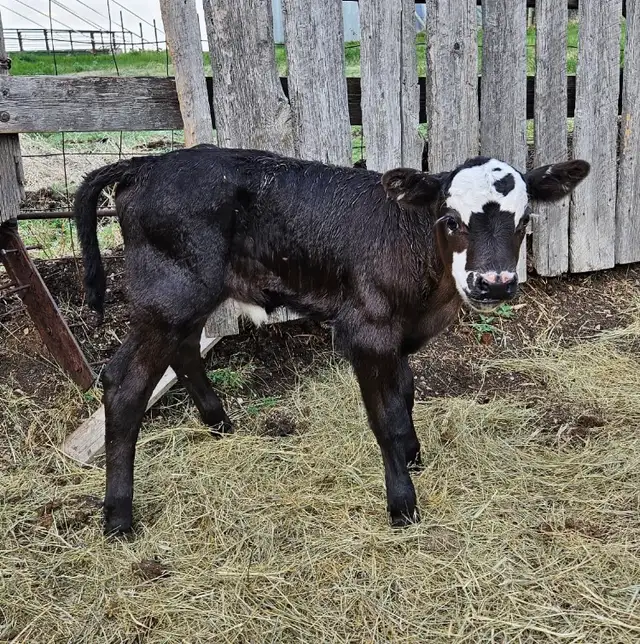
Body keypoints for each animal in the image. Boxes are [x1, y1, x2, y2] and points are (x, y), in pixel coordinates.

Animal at [74, 145, 590, 535]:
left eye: (524, 220)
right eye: (450, 220)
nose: (495, 283)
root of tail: (145, 164)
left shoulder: (397, 336)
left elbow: (406, 397)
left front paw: (413, 456)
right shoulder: (366, 332)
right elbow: (385, 418)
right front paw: (402, 504)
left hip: (190, 294)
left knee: (182, 349)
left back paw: (219, 424)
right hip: (171, 294)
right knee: (123, 383)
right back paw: (118, 520)